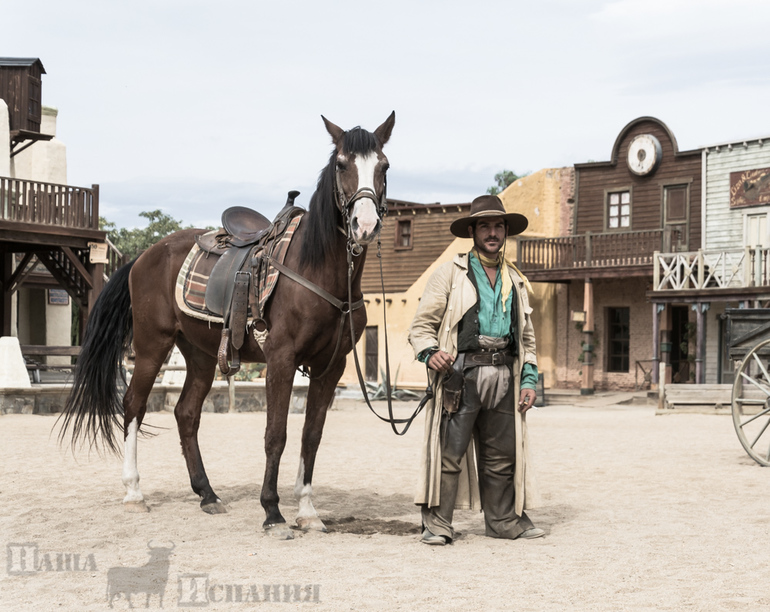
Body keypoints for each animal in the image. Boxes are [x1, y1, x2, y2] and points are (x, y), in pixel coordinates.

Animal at [58, 112, 396, 536]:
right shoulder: (281, 360)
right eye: (341, 164)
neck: (317, 270)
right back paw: (134, 492)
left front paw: (307, 510)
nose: (364, 224)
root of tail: (142, 257)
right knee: (133, 404)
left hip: (200, 355)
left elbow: (311, 435)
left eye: (384, 166)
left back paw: (207, 494)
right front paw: (273, 512)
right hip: (152, 347)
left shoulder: (329, 368)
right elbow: (276, 434)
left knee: (186, 413)